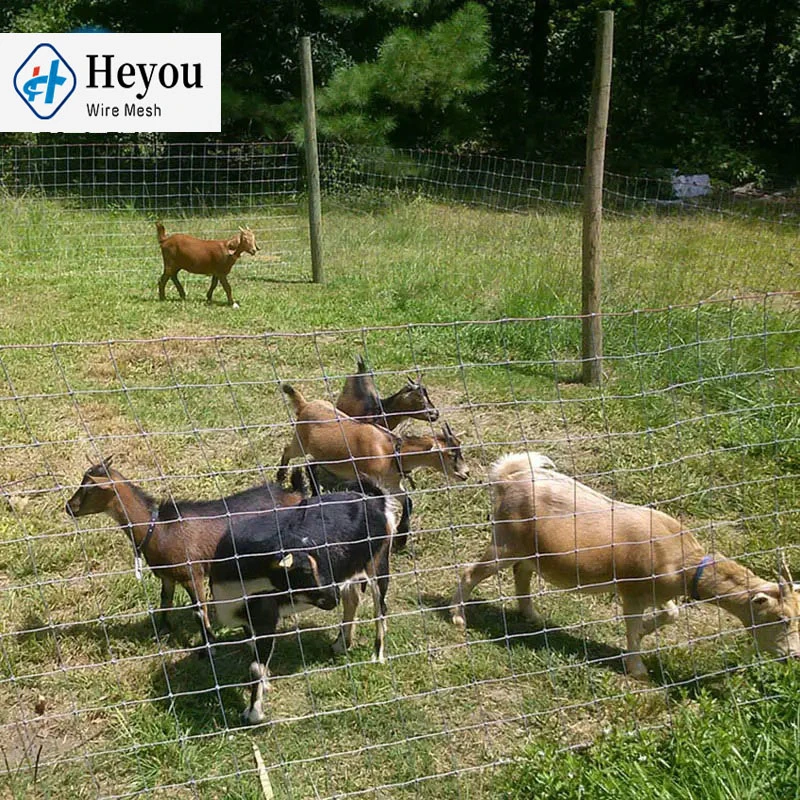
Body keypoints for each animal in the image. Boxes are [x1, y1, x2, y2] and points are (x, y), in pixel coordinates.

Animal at [63, 460, 304, 648]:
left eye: (89, 487)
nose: (68, 507)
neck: (159, 529)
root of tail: (294, 493)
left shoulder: (192, 574)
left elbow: (199, 610)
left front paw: (209, 644)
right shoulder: (168, 576)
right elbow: (165, 602)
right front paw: (162, 632)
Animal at [209, 482, 400, 724]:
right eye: (303, 572)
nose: (331, 597)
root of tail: (376, 501)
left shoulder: (265, 618)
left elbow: (255, 667)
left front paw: (253, 713)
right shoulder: (249, 622)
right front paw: (266, 684)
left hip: (378, 561)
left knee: (380, 607)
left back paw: (377, 656)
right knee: (352, 600)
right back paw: (340, 645)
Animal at [276, 384, 468, 548]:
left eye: (459, 448)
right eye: (450, 454)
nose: (465, 473)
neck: (390, 450)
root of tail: (305, 405)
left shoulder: (391, 483)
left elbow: (407, 501)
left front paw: (401, 539)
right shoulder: (366, 479)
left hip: (326, 457)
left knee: (310, 465)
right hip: (299, 443)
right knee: (287, 450)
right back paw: (280, 476)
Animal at [450, 454, 800, 680]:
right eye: (781, 619)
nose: (794, 656)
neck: (684, 562)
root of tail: (506, 479)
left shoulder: (658, 591)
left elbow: (671, 614)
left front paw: (647, 631)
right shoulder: (631, 590)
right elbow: (632, 627)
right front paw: (637, 668)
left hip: (526, 549)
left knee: (521, 573)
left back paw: (531, 616)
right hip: (505, 542)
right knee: (469, 571)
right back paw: (457, 617)